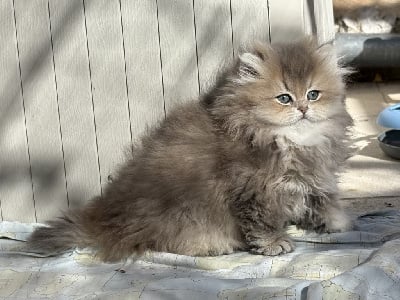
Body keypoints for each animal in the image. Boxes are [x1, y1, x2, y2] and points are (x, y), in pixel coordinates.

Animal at [27, 38, 354, 262]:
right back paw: (213, 246)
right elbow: (262, 221)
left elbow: (322, 198)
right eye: (284, 98)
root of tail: (110, 215)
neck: (289, 142)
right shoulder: (254, 190)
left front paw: (335, 222)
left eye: (313, 94)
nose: (303, 109)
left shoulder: (311, 177)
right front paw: (275, 243)